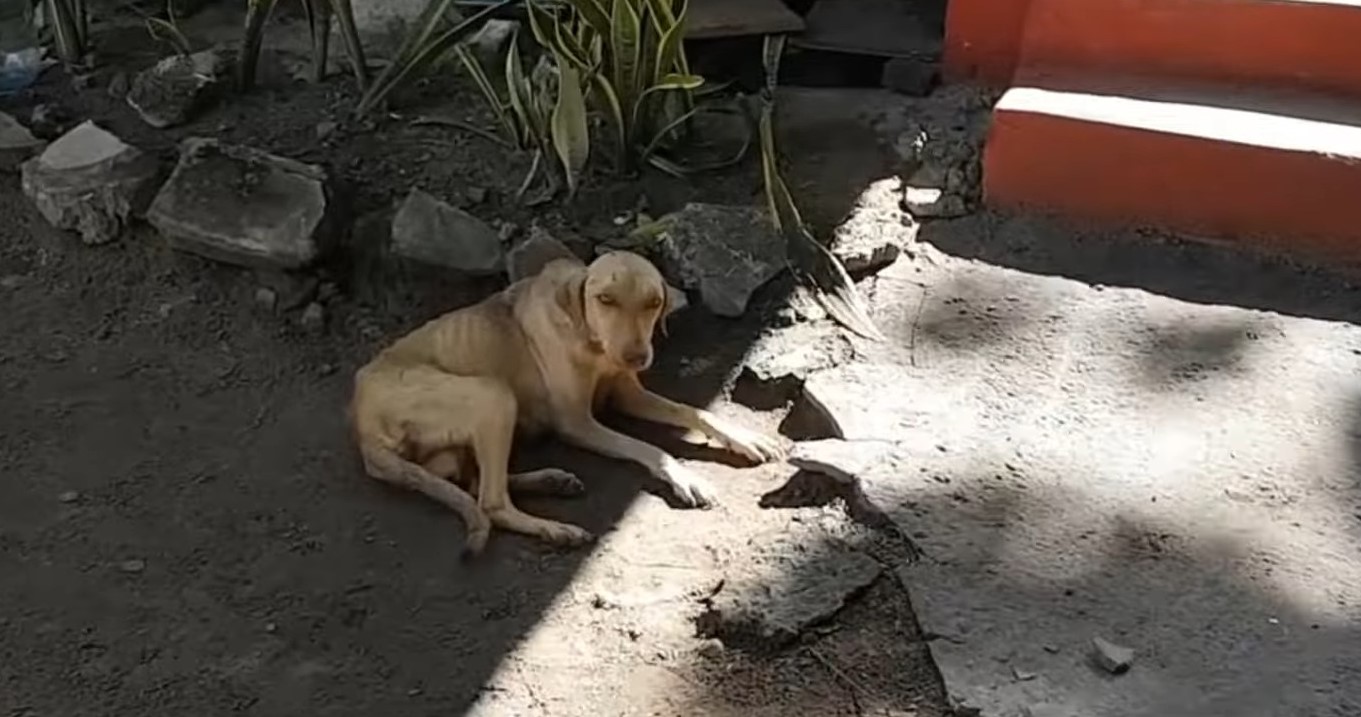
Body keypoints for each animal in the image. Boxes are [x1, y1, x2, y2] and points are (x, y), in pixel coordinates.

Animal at [345, 250, 783, 557]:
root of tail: (362, 424)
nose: (636, 356)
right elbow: (648, 447)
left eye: (653, 302)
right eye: (605, 299)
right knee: (490, 502)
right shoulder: (578, 423)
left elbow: (692, 410)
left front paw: (743, 437)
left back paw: (551, 481)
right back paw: (557, 529)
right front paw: (685, 476)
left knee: (475, 483)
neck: (589, 337)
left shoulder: (626, 393)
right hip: (492, 395)